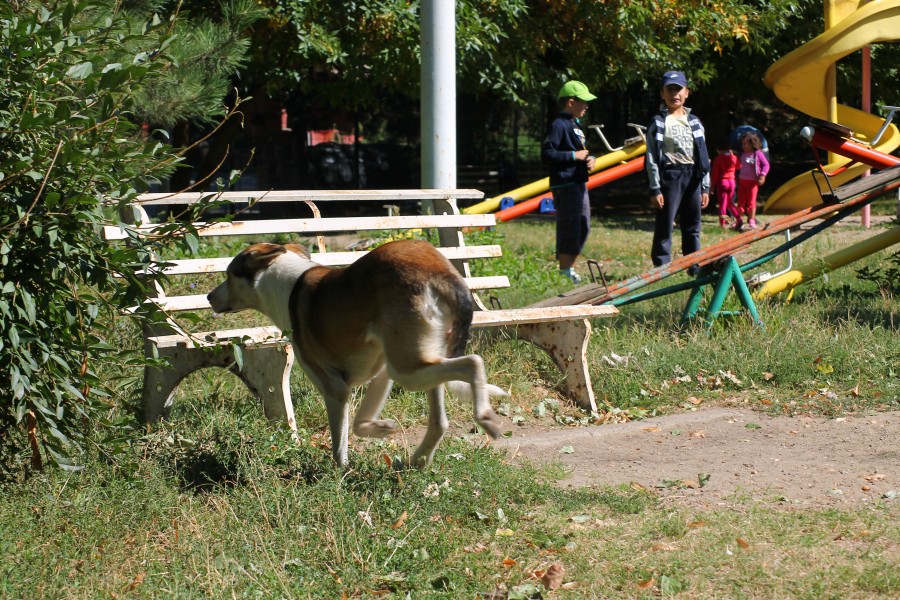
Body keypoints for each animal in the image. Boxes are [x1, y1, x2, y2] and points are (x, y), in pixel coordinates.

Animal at [207, 239, 510, 468]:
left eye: (229, 275)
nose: (209, 297)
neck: (287, 282)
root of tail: (439, 270)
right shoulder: (382, 370)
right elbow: (359, 424)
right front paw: (381, 428)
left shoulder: (334, 389)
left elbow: (340, 442)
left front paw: (340, 473)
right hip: (419, 360)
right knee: (439, 422)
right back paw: (417, 462)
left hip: (407, 369)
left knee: (473, 363)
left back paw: (485, 417)